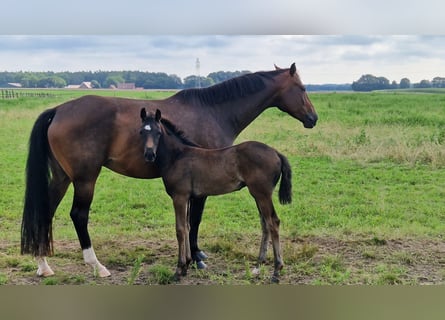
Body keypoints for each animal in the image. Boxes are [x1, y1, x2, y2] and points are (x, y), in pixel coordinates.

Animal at [140, 109, 292, 282]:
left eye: (158, 133)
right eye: (141, 132)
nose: (149, 154)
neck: (177, 157)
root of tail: (276, 152)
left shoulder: (179, 197)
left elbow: (180, 229)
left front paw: (179, 270)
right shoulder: (188, 198)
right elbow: (187, 227)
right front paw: (186, 265)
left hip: (262, 194)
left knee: (273, 222)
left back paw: (276, 271)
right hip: (258, 194)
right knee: (265, 223)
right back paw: (258, 266)